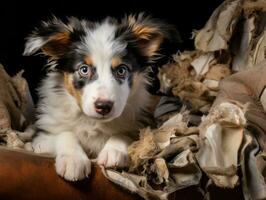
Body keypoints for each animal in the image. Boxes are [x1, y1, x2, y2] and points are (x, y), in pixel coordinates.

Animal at [24, 14, 179, 181]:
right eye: (84, 69)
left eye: (121, 70)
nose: (103, 106)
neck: (93, 122)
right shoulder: (41, 138)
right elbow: (64, 134)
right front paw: (73, 160)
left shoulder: (142, 125)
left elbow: (125, 134)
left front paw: (114, 151)